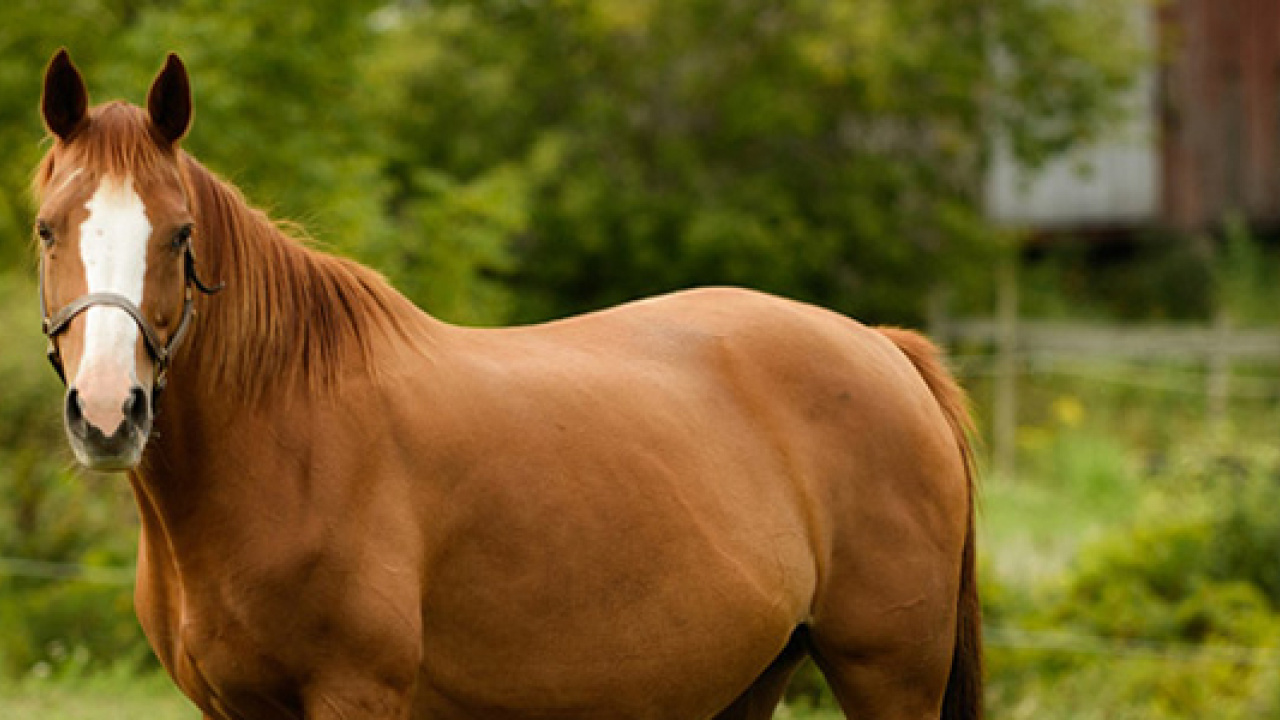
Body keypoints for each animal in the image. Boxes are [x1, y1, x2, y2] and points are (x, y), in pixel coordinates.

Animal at [31, 49, 981, 720]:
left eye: (179, 234)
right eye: (46, 228)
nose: (109, 414)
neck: (285, 441)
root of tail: (884, 348)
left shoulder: (356, 695)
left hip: (888, 675)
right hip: (750, 677)